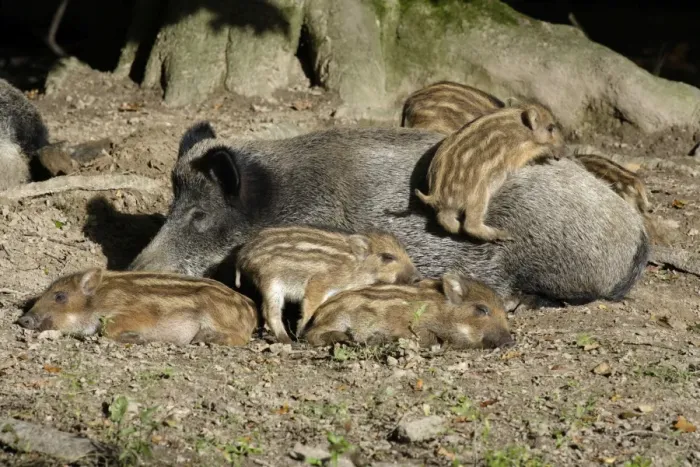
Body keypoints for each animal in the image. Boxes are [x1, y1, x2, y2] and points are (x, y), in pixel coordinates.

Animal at [17, 268, 257, 346]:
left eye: (60, 296)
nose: (23, 319)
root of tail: (251, 308)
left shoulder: (136, 312)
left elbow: (108, 329)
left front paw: (139, 339)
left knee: (241, 338)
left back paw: (202, 338)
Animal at [234, 225, 420, 343]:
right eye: (388, 257)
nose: (417, 278)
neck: (356, 267)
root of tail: (244, 254)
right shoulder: (319, 283)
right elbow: (310, 307)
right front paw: (301, 332)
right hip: (271, 282)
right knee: (270, 312)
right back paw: (288, 341)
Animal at [301, 272, 514, 349]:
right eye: (482, 309)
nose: (511, 342)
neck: (441, 312)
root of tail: (320, 311)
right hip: (336, 320)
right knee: (311, 334)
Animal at [415, 104, 564, 241]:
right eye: (550, 128)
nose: (561, 155)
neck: (523, 131)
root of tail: (436, 194)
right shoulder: (516, 155)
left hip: (451, 207)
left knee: (446, 221)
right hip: (478, 196)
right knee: (470, 225)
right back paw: (504, 235)